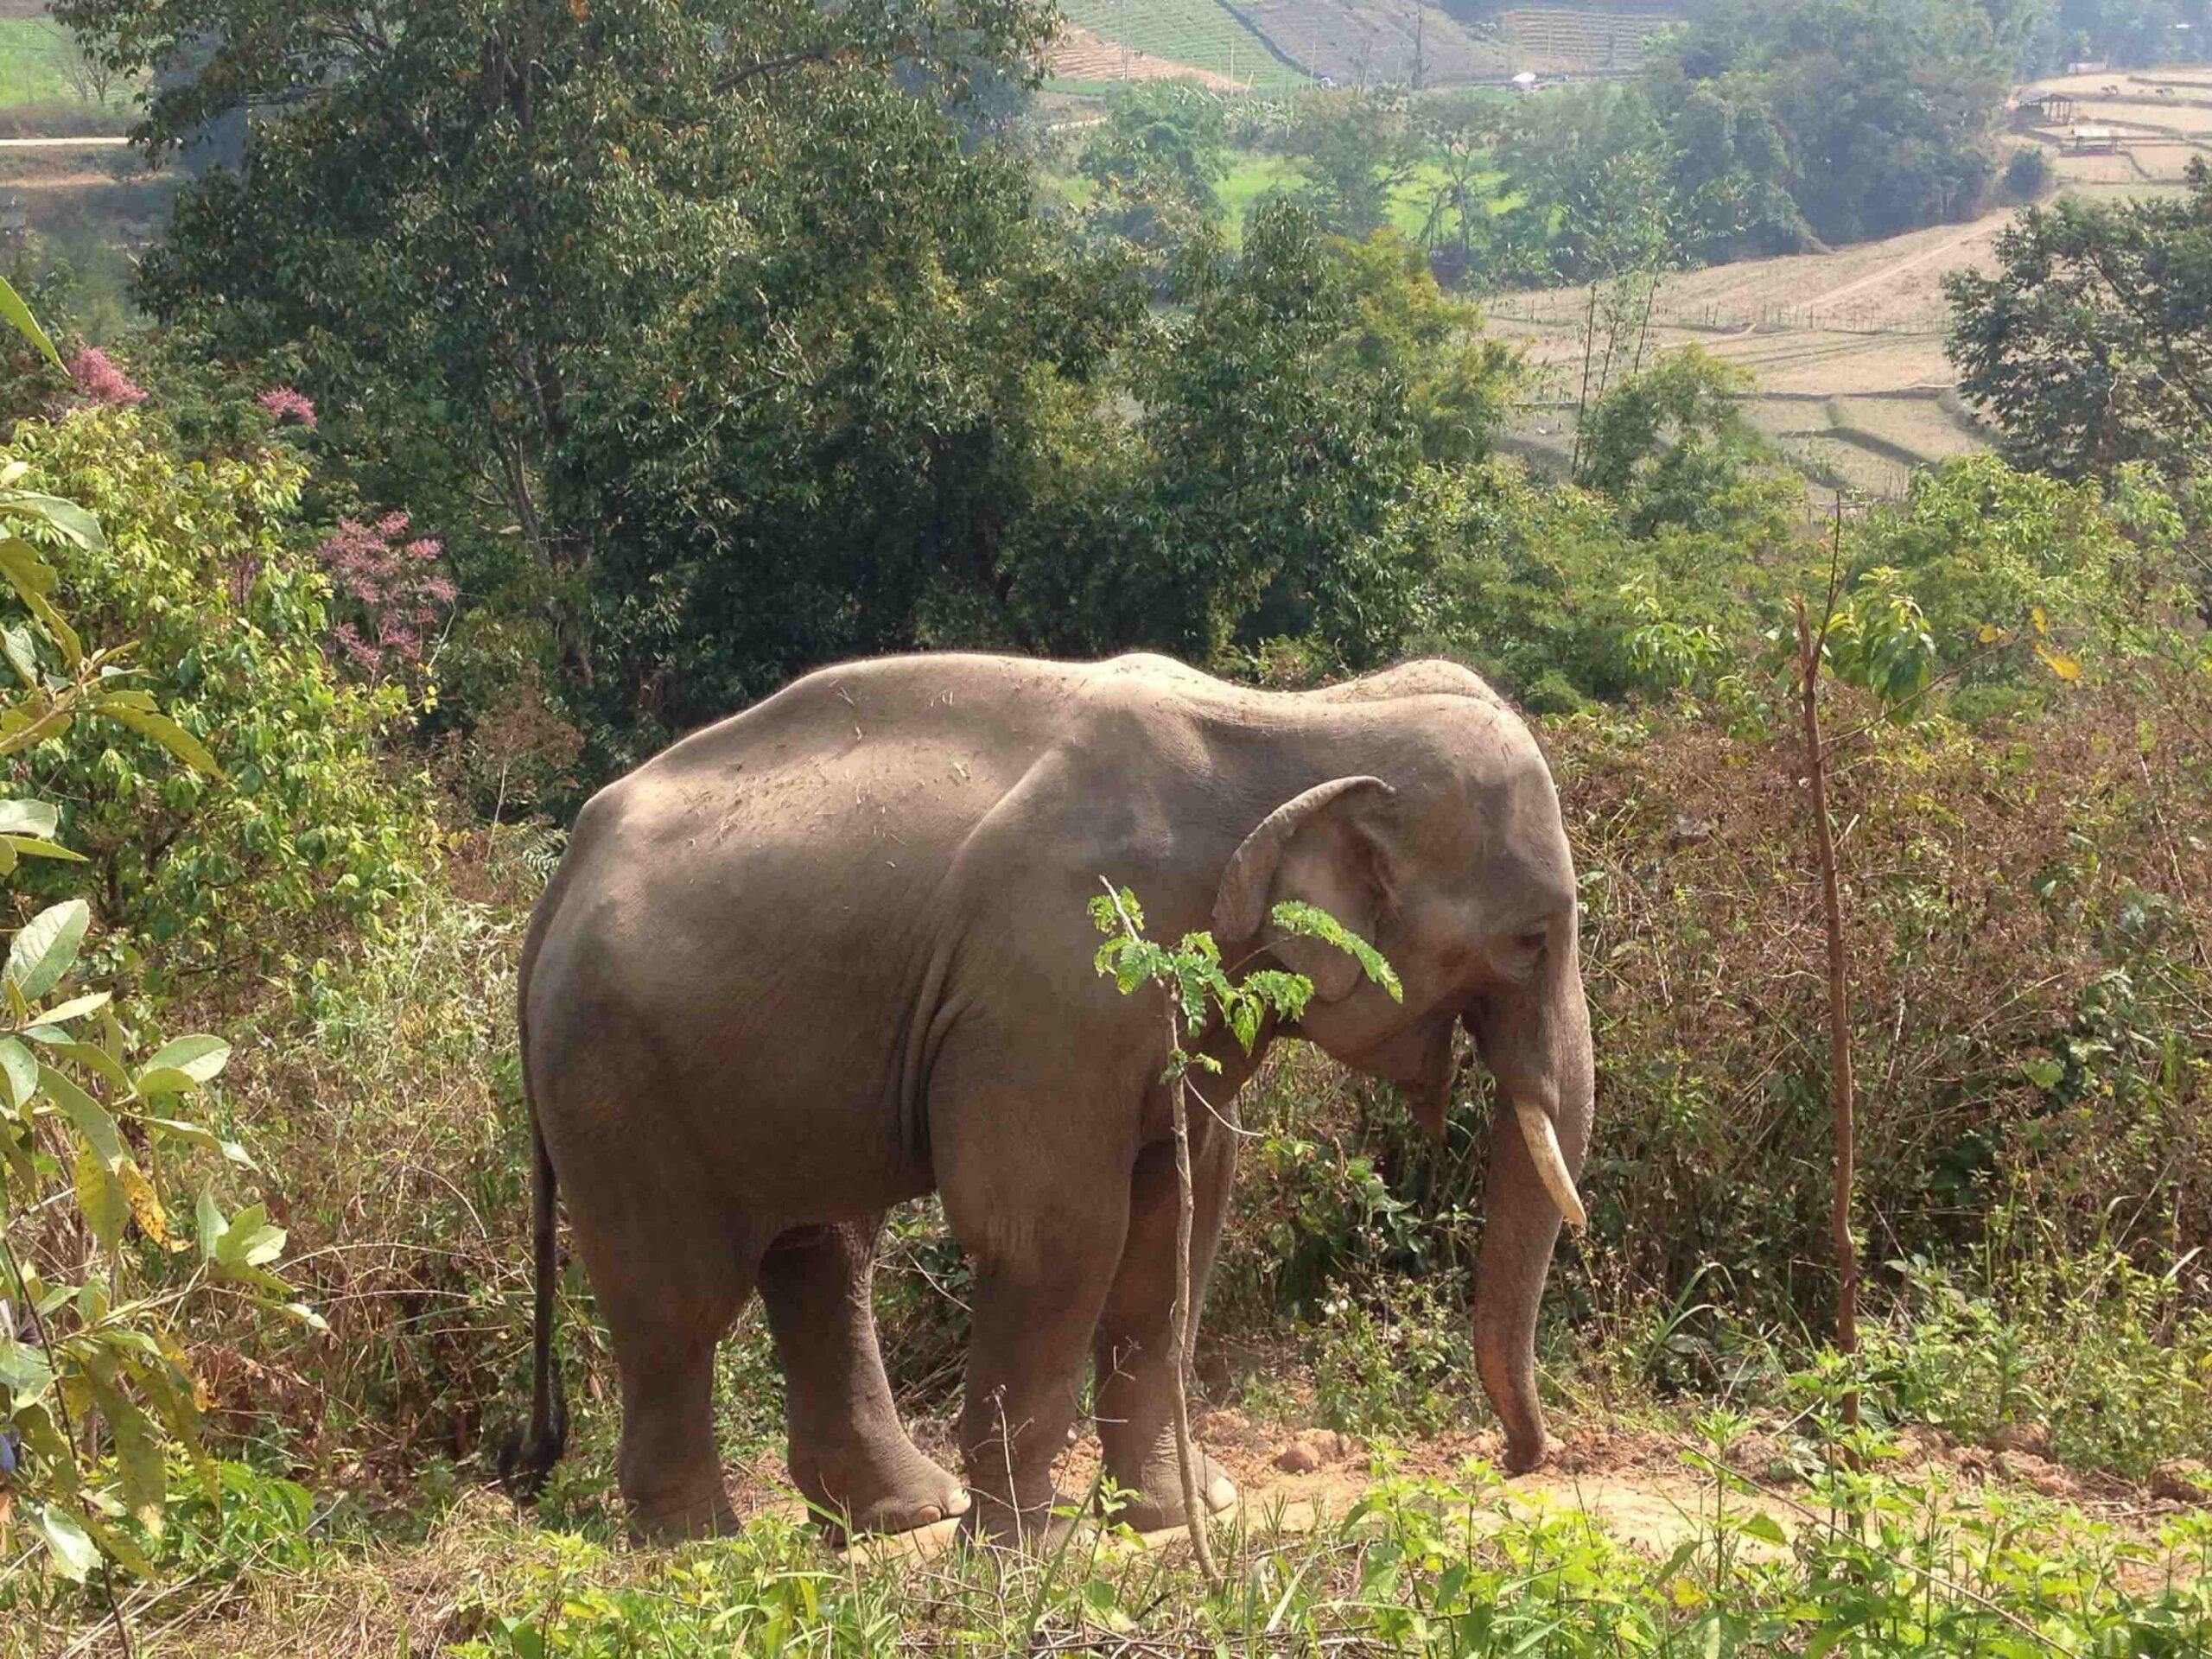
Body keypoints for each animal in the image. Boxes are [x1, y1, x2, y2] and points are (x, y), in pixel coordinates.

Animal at [506, 650, 1592, 1548]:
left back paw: (902, 1516)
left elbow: (1176, 1224)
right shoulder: (1055, 981)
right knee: (677, 1295)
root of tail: (564, 872)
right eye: (1533, 939)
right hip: (614, 1071)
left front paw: (1179, 1513)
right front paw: (1033, 1549)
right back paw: (699, 1546)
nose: (1512, 1460)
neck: (1300, 719)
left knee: (822, 1255)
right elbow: (1051, 1228)